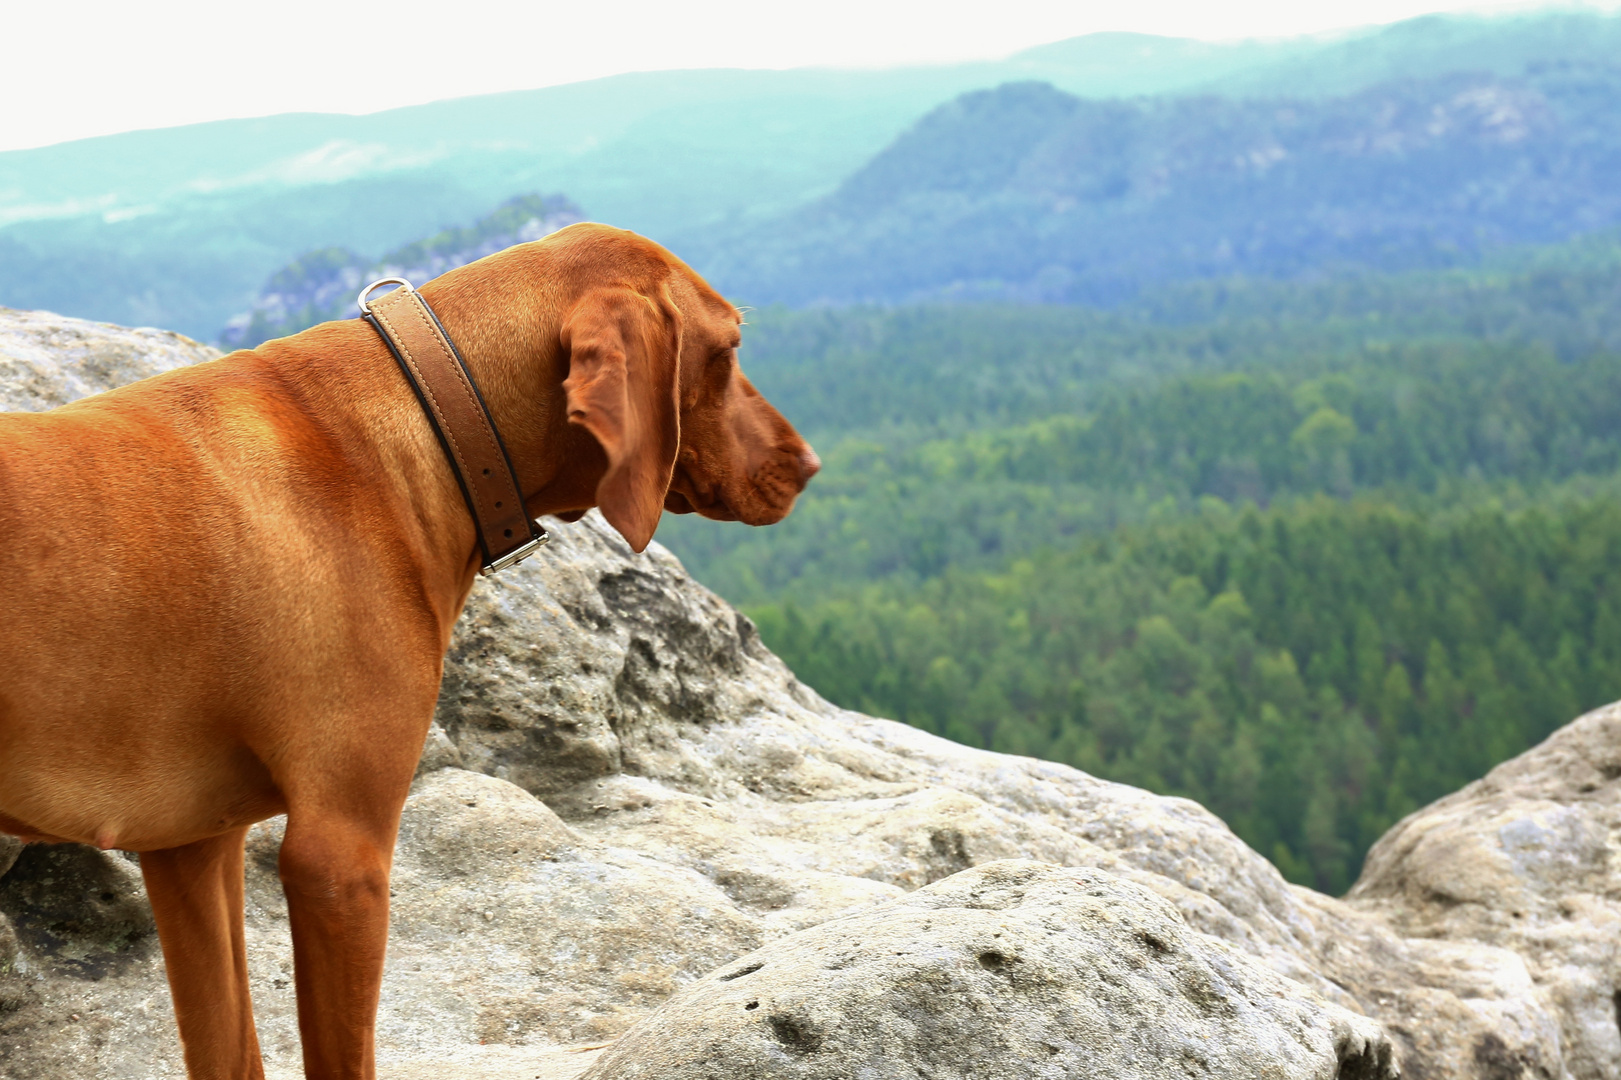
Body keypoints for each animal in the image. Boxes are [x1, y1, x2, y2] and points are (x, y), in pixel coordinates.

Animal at [0, 222, 810, 1070]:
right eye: (725, 351)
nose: (806, 464)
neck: (424, 423)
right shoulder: (338, 858)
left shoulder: (193, 848)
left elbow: (230, 1047)